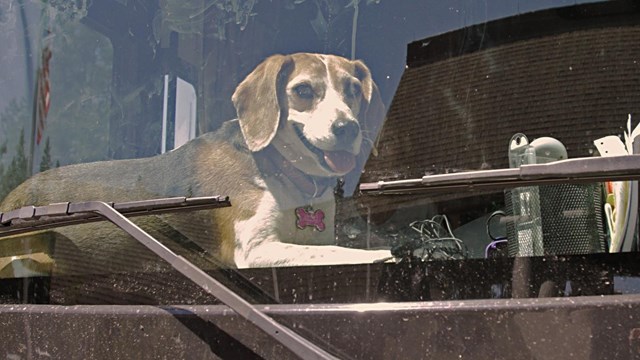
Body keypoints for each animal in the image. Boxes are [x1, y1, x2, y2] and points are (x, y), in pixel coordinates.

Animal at [0, 52, 392, 268]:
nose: (347, 128)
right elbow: (344, 252)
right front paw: (384, 254)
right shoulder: (254, 249)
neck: (283, 173)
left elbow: (328, 247)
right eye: (304, 91)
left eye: (353, 90)